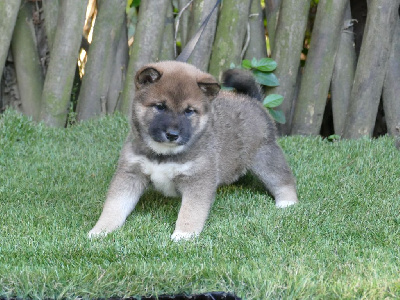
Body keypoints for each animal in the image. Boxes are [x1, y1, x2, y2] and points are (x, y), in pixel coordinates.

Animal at [89, 61, 298, 241]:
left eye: (189, 111)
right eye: (160, 106)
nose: (172, 134)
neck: (164, 154)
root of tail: (253, 100)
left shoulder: (198, 179)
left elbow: (191, 211)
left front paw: (184, 235)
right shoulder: (130, 173)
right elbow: (115, 206)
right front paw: (101, 230)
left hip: (265, 156)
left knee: (282, 179)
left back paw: (287, 203)